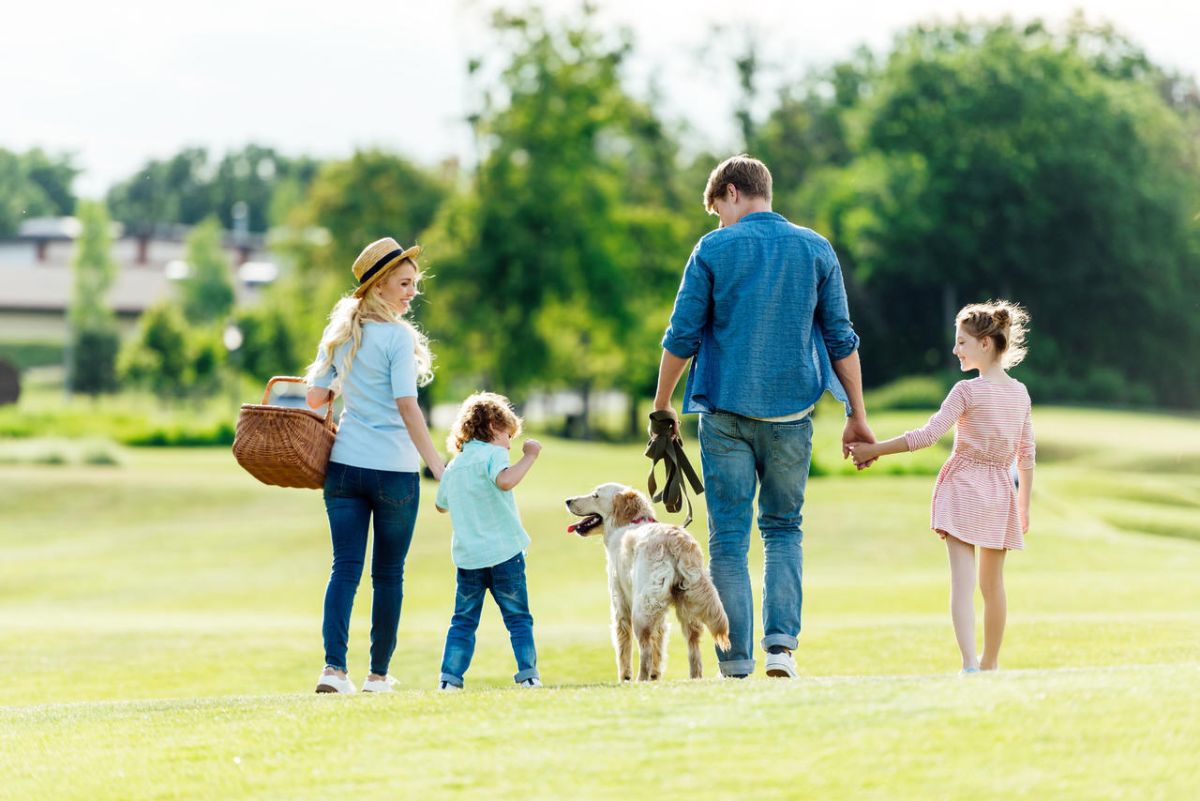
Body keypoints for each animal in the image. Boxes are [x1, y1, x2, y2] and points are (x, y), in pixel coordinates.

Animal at [564, 482, 724, 681]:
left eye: (595, 495)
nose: (567, 500)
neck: (629, 523)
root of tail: (674, 541)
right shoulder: (660, 615)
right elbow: (659, 645)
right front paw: (656, 676)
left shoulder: (620, 605)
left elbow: (624, 648)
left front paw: (625, 678)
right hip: (687, 607)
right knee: (693, 647)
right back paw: (694, 678)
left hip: (641, 609)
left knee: (645, 647)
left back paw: (640, 680)